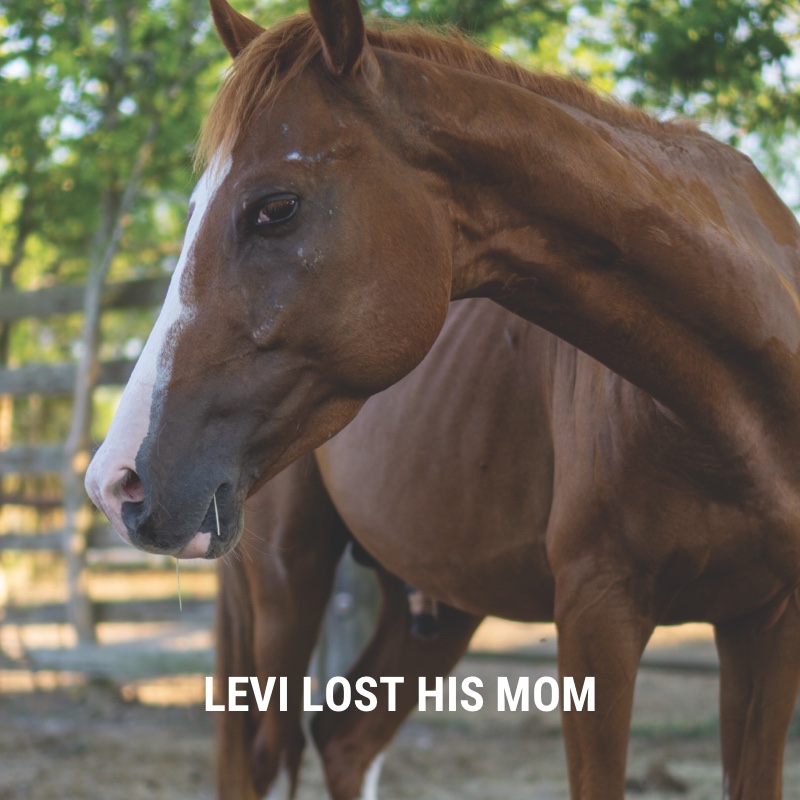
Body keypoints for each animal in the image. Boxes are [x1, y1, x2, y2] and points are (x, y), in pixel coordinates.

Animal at [85, 1, 800, 797]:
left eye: (276, 208)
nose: (116, 480)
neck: (732, 414)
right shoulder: (597, 614)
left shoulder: (768, 626)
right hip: (289, 581)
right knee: (277, 753)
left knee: (345, 741)